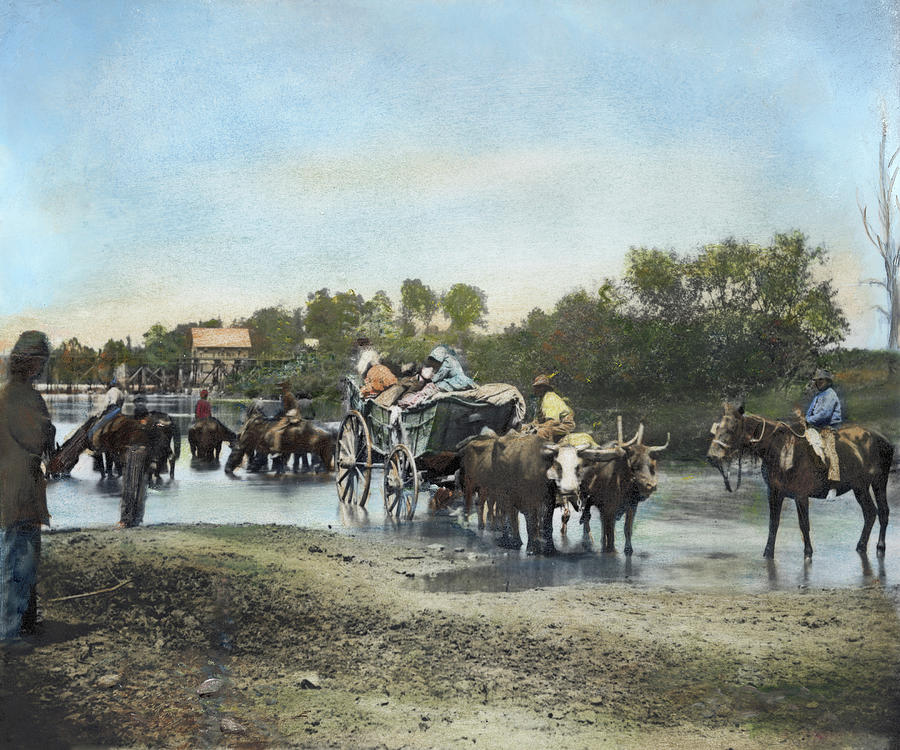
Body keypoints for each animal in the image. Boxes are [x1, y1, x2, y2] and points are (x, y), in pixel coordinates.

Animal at [712, 406, 892, 560]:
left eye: (731, 428)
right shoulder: (774, 494)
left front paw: (808, 553)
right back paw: (864, 546)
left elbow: (804, 524)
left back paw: (877, 546)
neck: (781, 449)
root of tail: (882, 439)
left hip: (877, 483)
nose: (713, 456)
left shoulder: (801, 496)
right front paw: (768, 553)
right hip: (862, 487)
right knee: (872, 513)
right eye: (718, 428)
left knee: (880, 512)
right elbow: (773, 524)